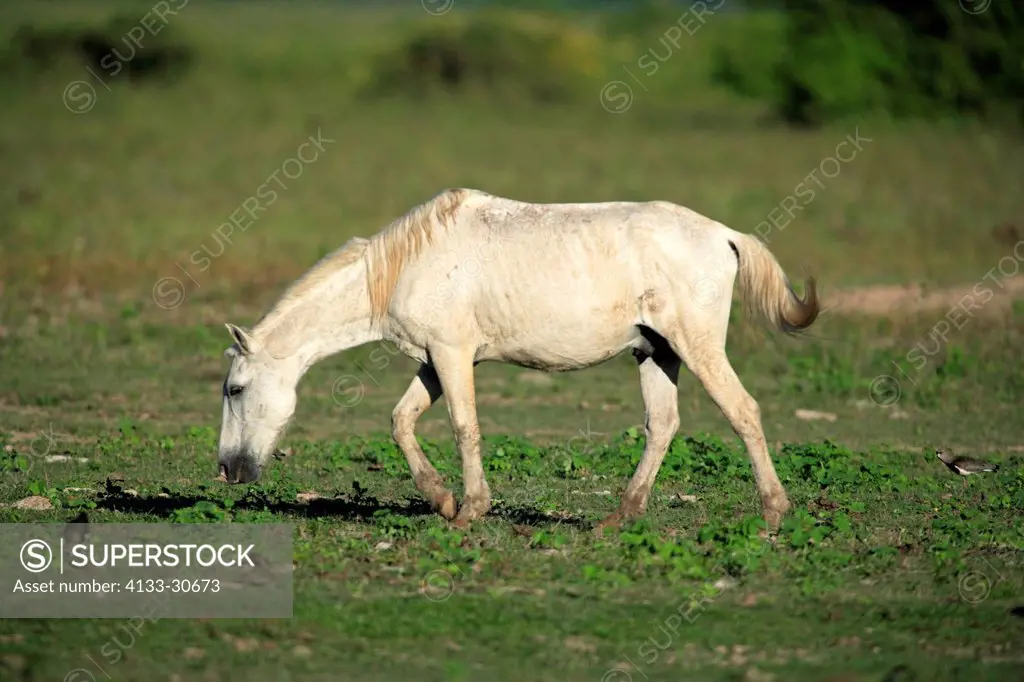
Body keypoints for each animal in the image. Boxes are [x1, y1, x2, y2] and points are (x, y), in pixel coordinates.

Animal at [216, 187, 815, 532]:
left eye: (235, 389)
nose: (226, 470)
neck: (404, 264)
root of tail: (725, 235)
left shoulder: (452, 355)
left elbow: (464, 427)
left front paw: (469, 511)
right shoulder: (435, 360)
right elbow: (402, 421)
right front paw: (442, 501)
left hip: (696, 347)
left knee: (742, 411)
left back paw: (772, 513)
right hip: (656, 352)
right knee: (662, 425)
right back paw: (620, 517)